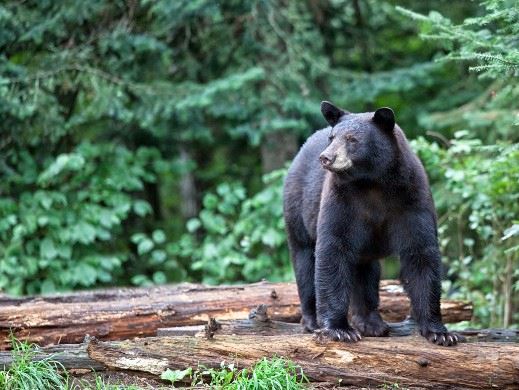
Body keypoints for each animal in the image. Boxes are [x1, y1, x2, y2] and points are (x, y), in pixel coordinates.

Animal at [284, 101, 460, 348]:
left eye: (352, 139)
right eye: (332, 137)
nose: (326, 157)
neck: (372, 182)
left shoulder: (412, 198)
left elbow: (421, 252)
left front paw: (441, 332)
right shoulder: (341, 201)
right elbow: (333, 249)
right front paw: (339, 329)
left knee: (365, 271)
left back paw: (371, 323)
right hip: (298, 209)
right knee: (305, 260)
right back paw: (312, 320)